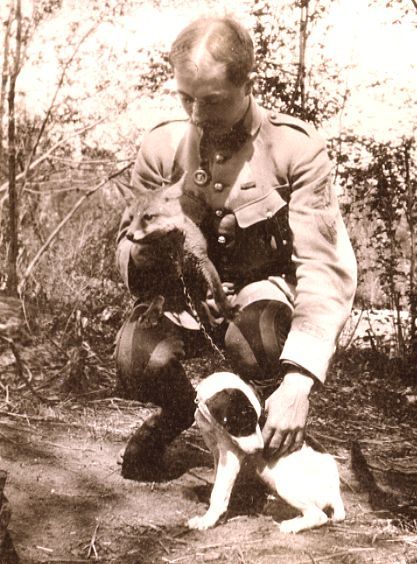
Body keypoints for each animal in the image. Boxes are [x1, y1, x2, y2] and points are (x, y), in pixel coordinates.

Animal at [188, 372, 345, 533]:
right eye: (246, 423)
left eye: (258, 420)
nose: (260, 449)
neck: (213, 425)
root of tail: (335, 492)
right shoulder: (216, 452)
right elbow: (218, 482)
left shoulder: (231, 455)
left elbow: (219, 492)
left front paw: (207, 519)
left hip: (286, 486)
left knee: (319, 516)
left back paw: (291, 525)